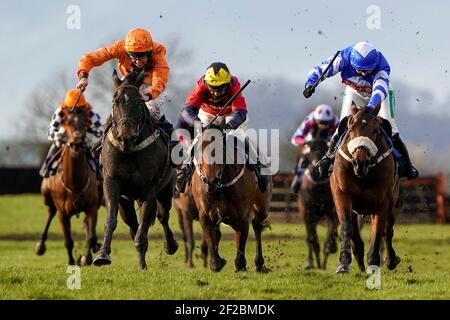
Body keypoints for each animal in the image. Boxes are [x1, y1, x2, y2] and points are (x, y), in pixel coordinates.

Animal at [35, 110, 101, 264]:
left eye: (84, 124)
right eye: (68, 123)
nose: (76, 143)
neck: (74, 183)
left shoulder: (92, 207)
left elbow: (90, 236)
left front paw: (86, 257)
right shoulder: (63, 213)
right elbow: (68, 241)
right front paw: (72, 263)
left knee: (87, 226)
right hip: (47, 197)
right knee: (50, 212)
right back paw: (40, 244)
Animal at [92, 70, 178, 270]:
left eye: (139, 103)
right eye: (115, 101)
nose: (127, 136)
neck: (129, 151)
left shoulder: (149, 189)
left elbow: (144, 225)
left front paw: (142, 265)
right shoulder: (112, 183)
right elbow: (111, 220)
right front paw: (102, 255)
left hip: (166, 190)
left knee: (163, 216)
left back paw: (171, 245)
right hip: (126, 201)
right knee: (132, 224)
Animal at [192, 123, 272, 272]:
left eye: (220, 149)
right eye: (199, 149)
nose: (211, 181)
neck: (220, 187)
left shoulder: (242, 215)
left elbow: (242, 238)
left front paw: (240, 264)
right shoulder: (205, 214)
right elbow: (211, 235)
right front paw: (217, 262)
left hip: (262, 206)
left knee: (257, 225)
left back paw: (259, 263)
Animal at [296, 135, 338, 270]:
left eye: (321, 151)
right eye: (306, 156)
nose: (314, 171)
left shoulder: (333, 213)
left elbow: (330, 237)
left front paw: (325, 260)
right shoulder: (307, 215)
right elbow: (312, 240)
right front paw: (317, 264)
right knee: (310, 239)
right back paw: (310, 262)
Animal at [330, 104, 400, 272]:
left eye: (375, 131)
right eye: (350, 129)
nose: (359, 163)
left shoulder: (382, 201)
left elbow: (378, 232)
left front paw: (374, 264)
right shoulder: (342, 193)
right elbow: (347, 227)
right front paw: (344, 263)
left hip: (392, 201)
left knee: (388, 230)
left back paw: (391, 260)